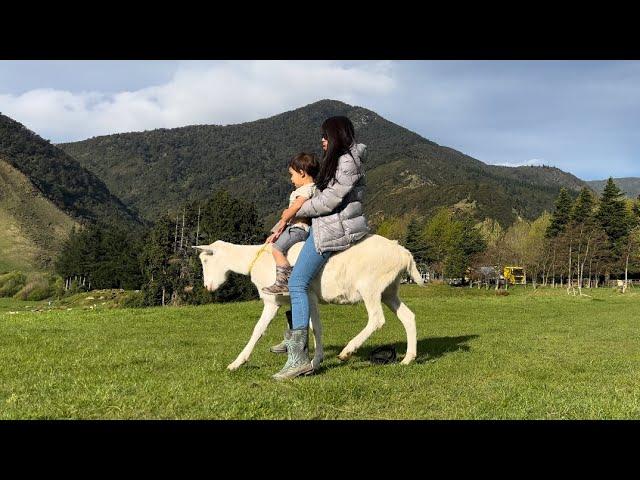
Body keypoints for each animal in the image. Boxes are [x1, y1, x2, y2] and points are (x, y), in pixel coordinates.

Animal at [195, 234, 424, 374]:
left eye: (205, 260)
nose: (207, 286)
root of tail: (404, 254)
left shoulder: (296, 296)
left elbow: (263, 329)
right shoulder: (288, 300)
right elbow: (302, 326)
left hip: (370, 286)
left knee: (377, 319)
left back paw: (347, 351)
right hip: (389, 289)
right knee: (408, 317)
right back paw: (408, 358)